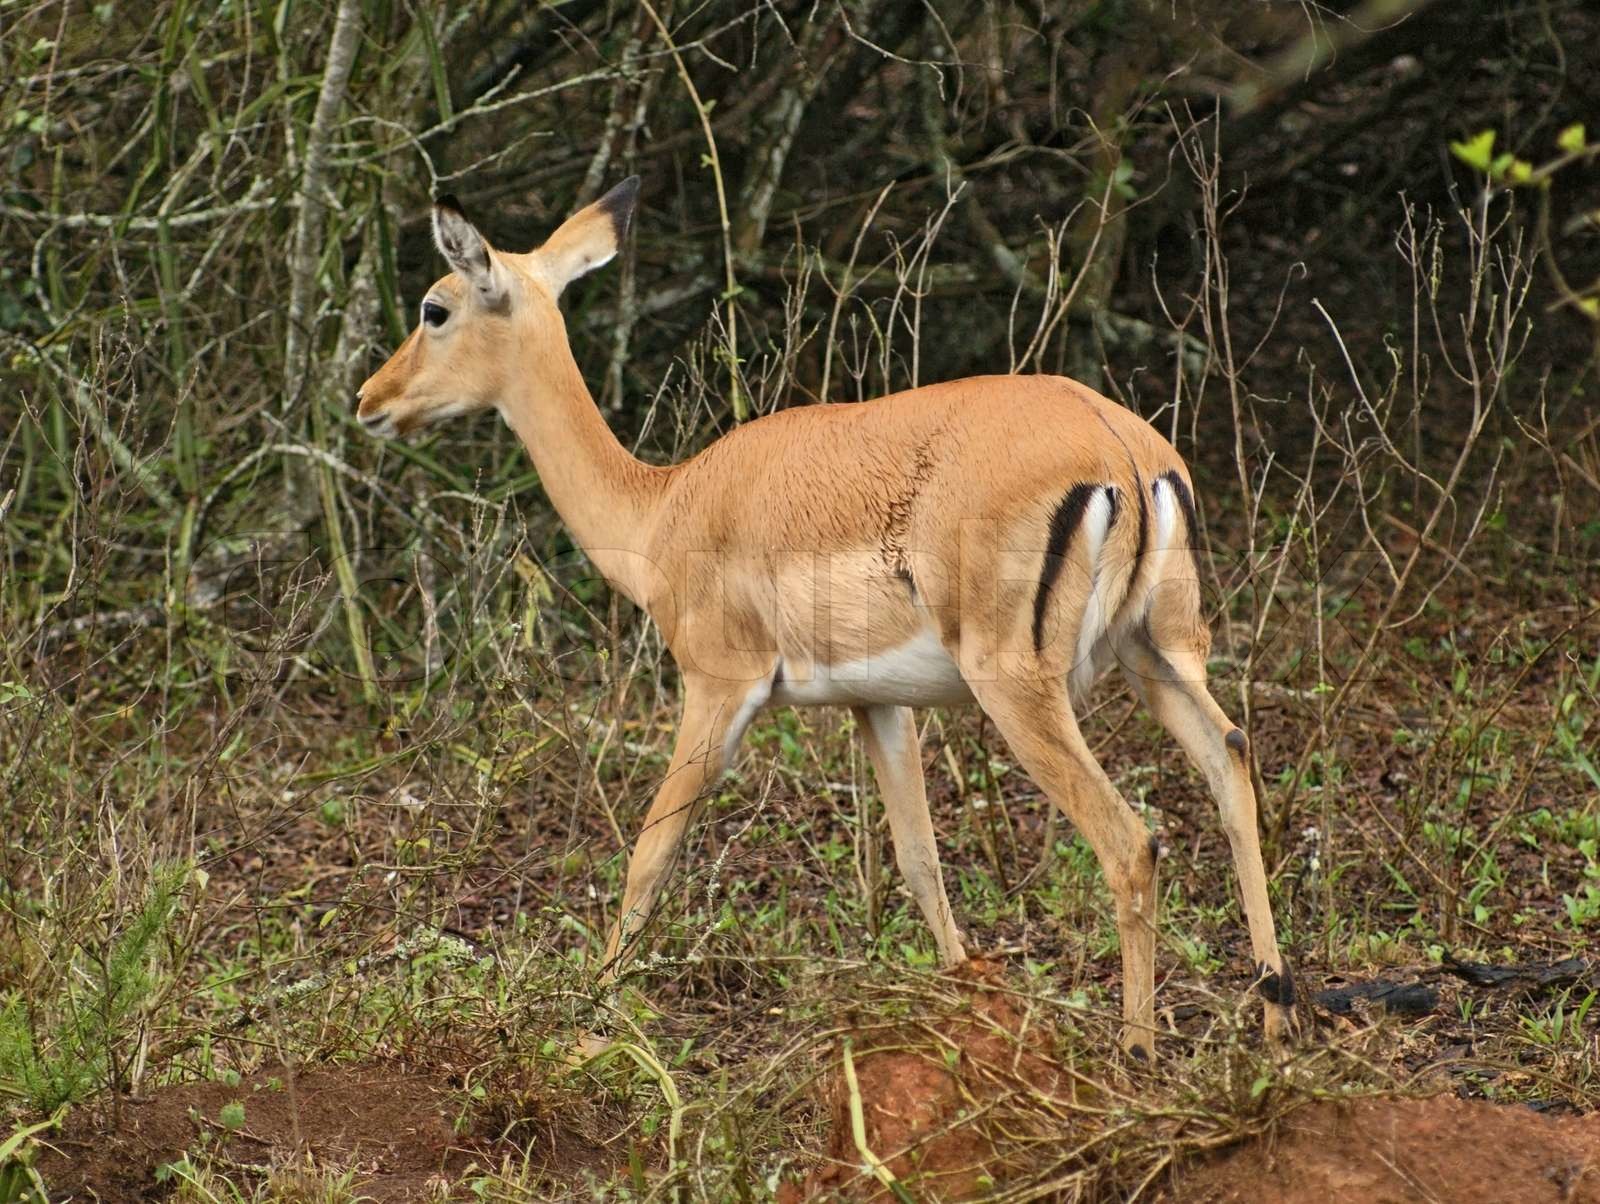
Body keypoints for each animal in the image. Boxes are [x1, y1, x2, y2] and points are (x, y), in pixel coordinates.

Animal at [354, 178, 1293, 1057]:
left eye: (436, 306)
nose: (371, 400)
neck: (661, 509)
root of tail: (1122, 450)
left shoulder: (718, 689)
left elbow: (651, 853)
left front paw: (586, 1024)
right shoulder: (879, 705)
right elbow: (920, 858)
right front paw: (964, 999)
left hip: (1020, 684)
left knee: (1131, 840)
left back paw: (1137, 1049)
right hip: (1159, 654)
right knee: (1231, 762)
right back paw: (1279, 1015)